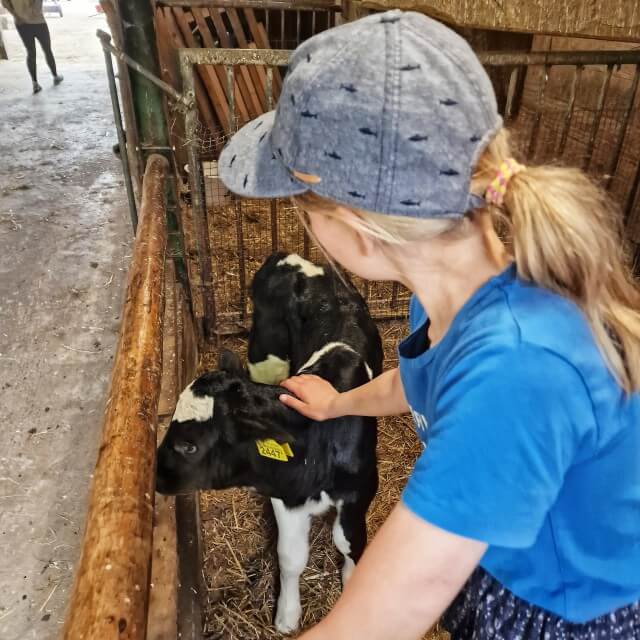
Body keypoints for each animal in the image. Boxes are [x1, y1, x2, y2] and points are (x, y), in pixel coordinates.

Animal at [157, 252, 382, 632]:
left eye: (190, 445)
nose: (156, 477)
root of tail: (290, 257)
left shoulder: (361, 489)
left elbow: (349, 540)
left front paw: (353, 583)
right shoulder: (285, 495)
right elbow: (291, 557)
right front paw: (287, 615)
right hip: (264, 356)